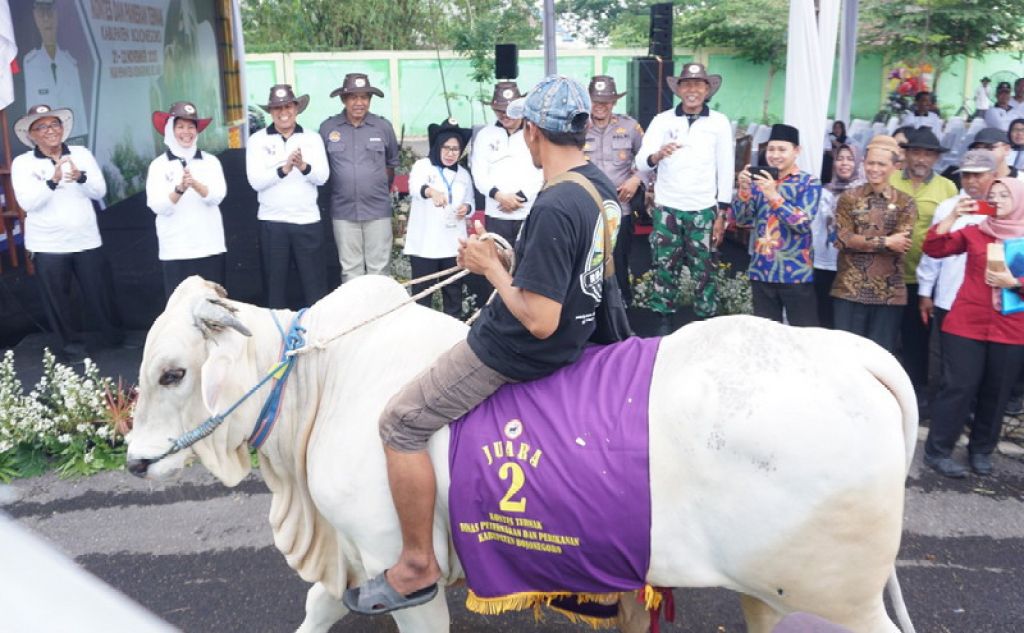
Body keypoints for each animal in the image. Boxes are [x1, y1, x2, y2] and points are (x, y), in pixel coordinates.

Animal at [125, 276, 921, 630]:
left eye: (172, 372)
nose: (134, 461)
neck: (322, 383)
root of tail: (850, 354)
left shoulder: (398, 564)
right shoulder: (349, 557)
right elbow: (320, 604)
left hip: (835, 601)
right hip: (770, 593)